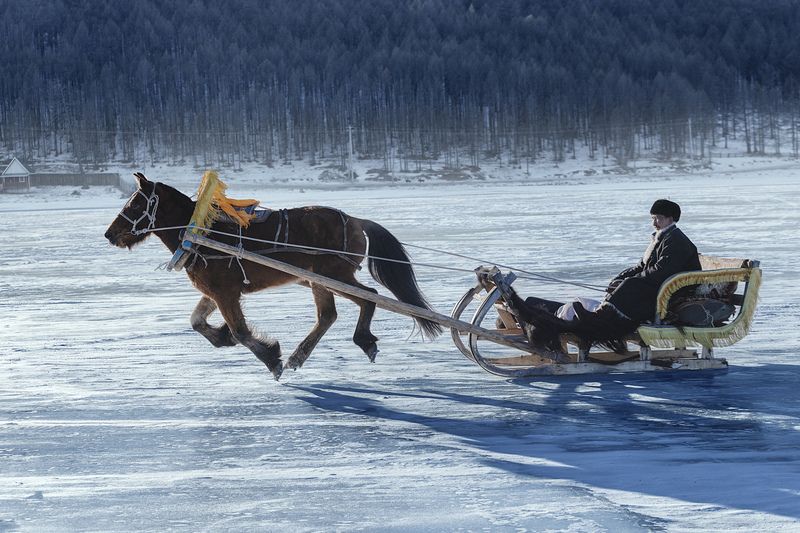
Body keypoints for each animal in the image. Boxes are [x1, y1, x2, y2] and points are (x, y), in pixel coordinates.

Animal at [104, 173, 442, 380]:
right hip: (318, 280)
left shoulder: (225, 292)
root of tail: (356, 220)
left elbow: (241, 332)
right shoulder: (215, 291)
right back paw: (299, 356)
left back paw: (362, 340)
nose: (110, 234)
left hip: (334, 274)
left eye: (135, 203)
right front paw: (222, 336)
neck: (201, 233)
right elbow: (197, 322)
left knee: (368, 297)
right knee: (328, 316)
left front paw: (271, 358)